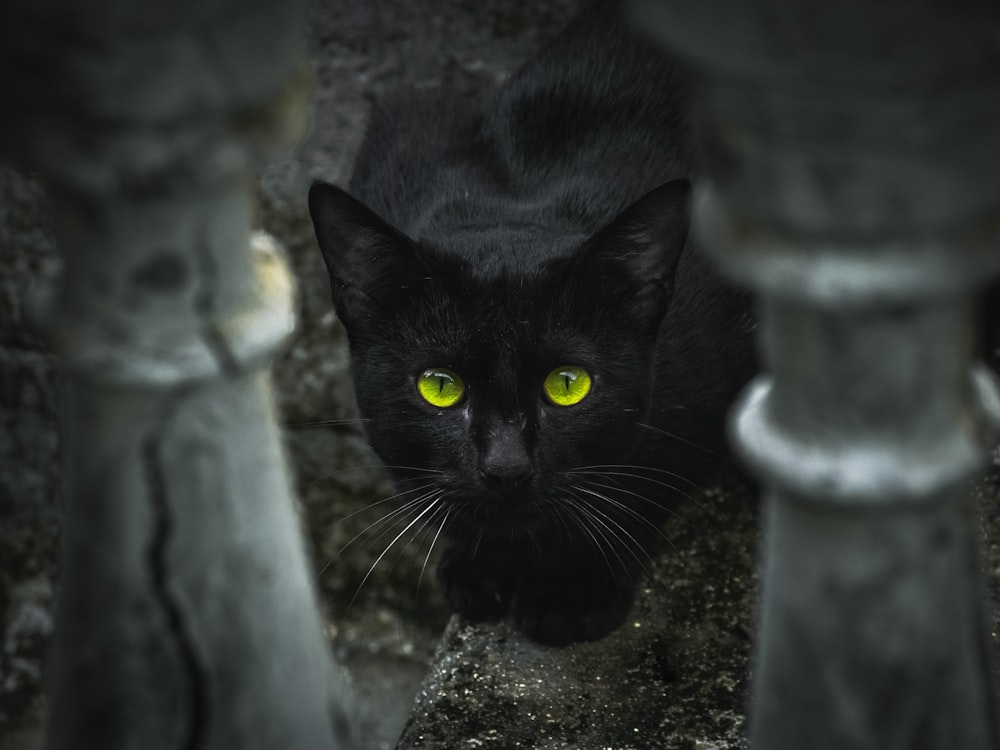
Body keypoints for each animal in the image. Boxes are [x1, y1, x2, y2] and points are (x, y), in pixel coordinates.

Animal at [308, 0, 752, 648]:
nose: (506, 467)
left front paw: (571, 595)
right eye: (439, 387)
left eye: (568, 385)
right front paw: (479, 568)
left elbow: (641, 488)